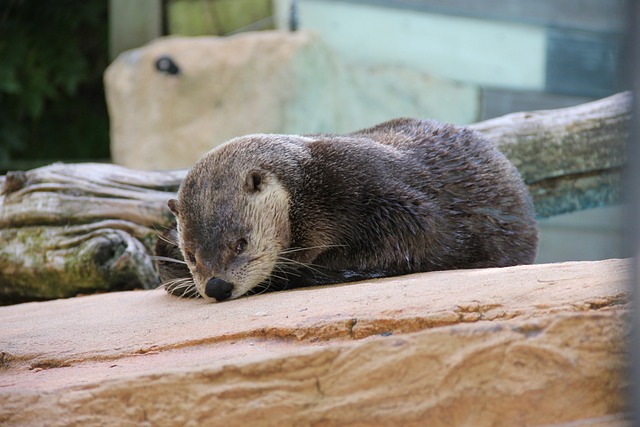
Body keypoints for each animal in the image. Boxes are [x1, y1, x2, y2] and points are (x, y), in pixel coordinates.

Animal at [158, 118, 536, 302]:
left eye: (241, 244)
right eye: (191, 255)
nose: (216, 287)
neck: (311, 189)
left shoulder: (375, 192)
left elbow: (419, 235)